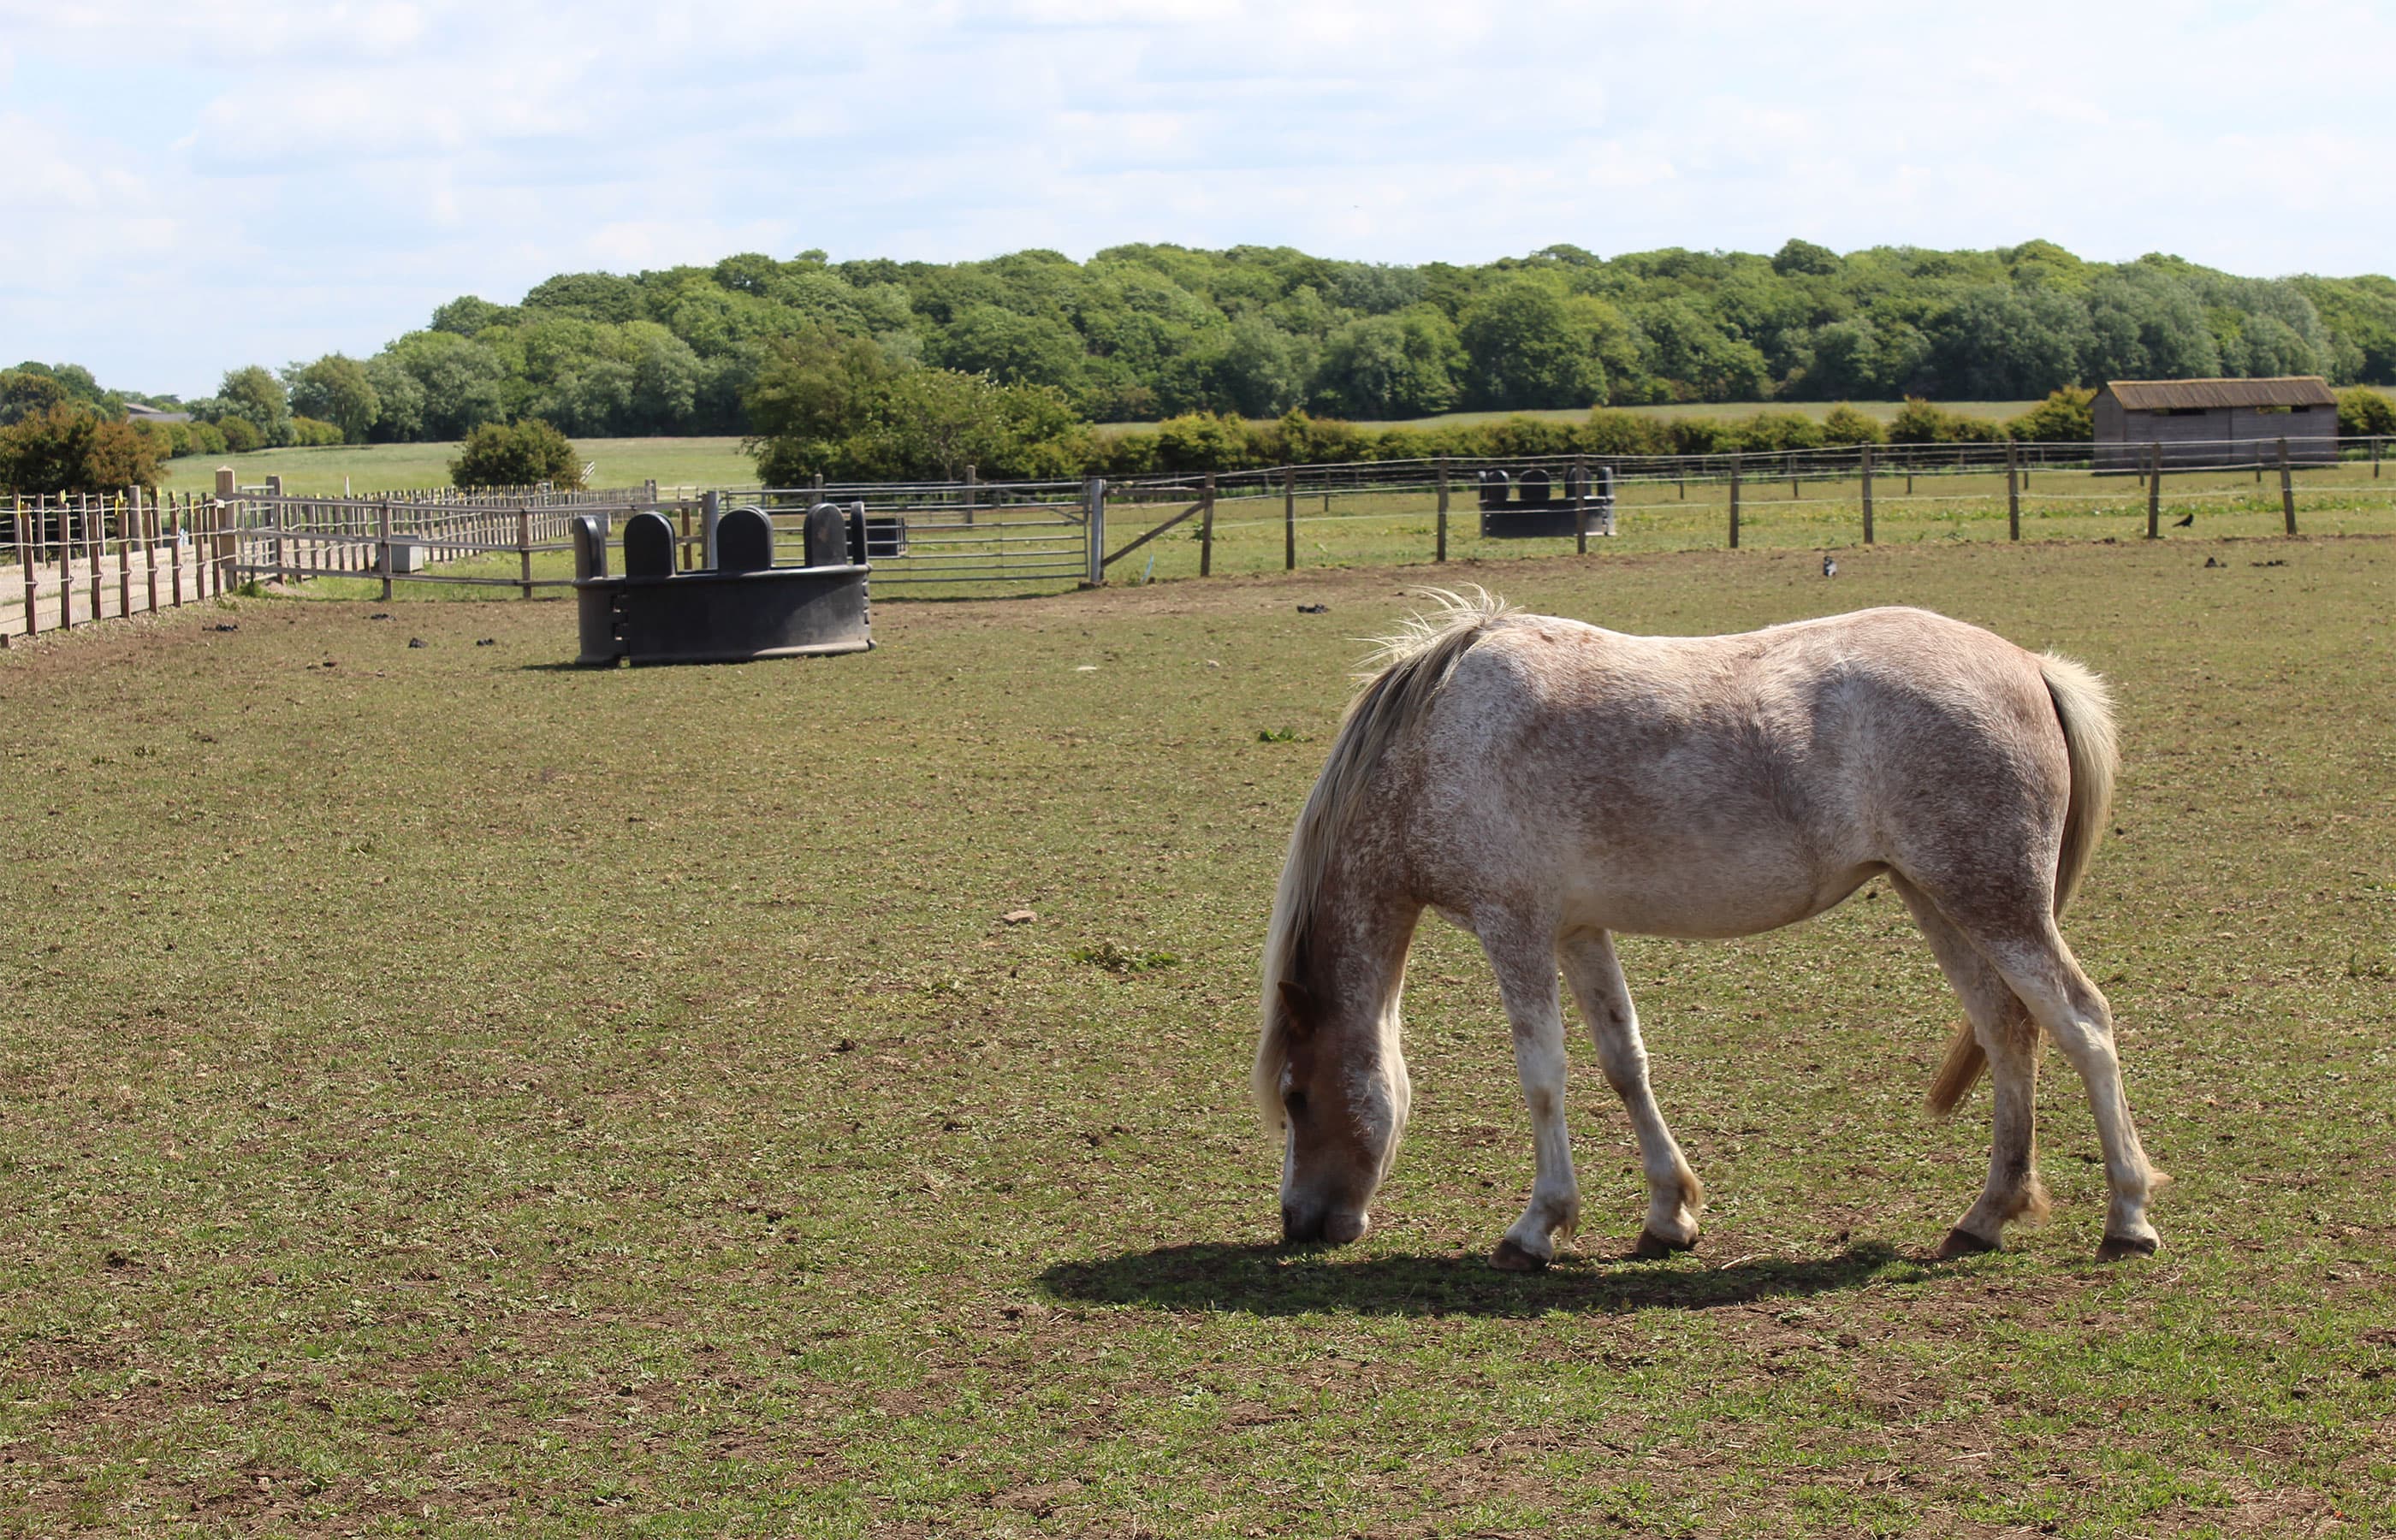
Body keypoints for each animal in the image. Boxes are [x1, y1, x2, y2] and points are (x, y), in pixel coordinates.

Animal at [1253, 590, 2164, 1269]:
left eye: (1297, 1097)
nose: (1301, 1223)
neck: (1436, 744)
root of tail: (2034, 667)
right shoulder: (1578, 929)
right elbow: (1624, 1063)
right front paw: (1669, 1214)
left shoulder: (1514, 926)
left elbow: (1543, 1075)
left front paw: (1539, 1225)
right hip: (1940, 901)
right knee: (2009, 1032)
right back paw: (1987, 1214)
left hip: (1997, 906)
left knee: (2083, 1024)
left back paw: (2127, 1217)